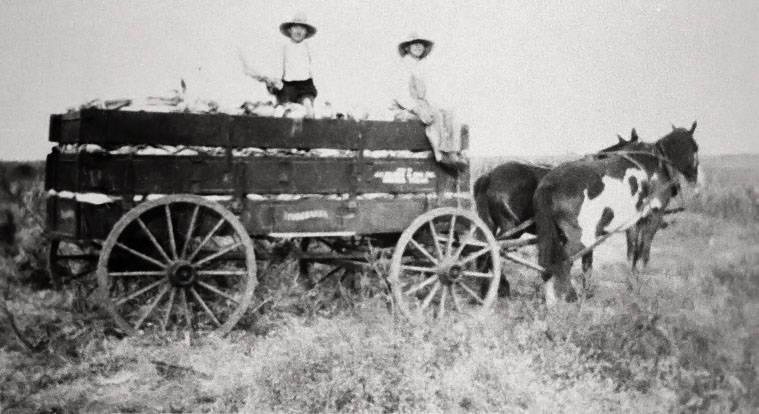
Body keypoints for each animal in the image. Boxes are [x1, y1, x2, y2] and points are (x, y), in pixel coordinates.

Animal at [536, 121, 700, 306]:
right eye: (695, 147)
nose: (694, 177)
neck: (656, 164)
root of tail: (549, 183)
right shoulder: (653, 218)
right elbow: (642, 257)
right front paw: (638, 290)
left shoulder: (633, 223)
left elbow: (631, 255)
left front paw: (631, 284)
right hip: (581, 238)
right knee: (560, 263)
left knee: (547, 265)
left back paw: (552, 302)